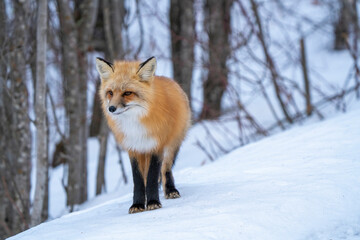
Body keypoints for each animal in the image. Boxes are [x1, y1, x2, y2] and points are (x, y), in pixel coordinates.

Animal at [95, 56, 191, 214]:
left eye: (127, 93)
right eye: (110, 92)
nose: (111, 108)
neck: (135, 124)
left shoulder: (156, 146)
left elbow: (152, 177)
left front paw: (153, 202)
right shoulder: (134, 148)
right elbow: (139, 180)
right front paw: (138, 204)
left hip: (172, 145)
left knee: (166, 169)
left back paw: (170, 190)